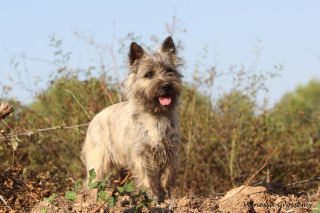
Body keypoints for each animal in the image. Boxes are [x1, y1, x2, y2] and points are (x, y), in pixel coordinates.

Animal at [82, 36, 182, 203]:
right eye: (149, 74)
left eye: (169, 71)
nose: (166, 86)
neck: (155, 115)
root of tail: (94, 119)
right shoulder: (141, 155)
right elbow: (148, 180)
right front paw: (152, 199)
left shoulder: (169, 153)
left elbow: (166, 179)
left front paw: (166, 199)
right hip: (99, 161)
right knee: (93, 181)